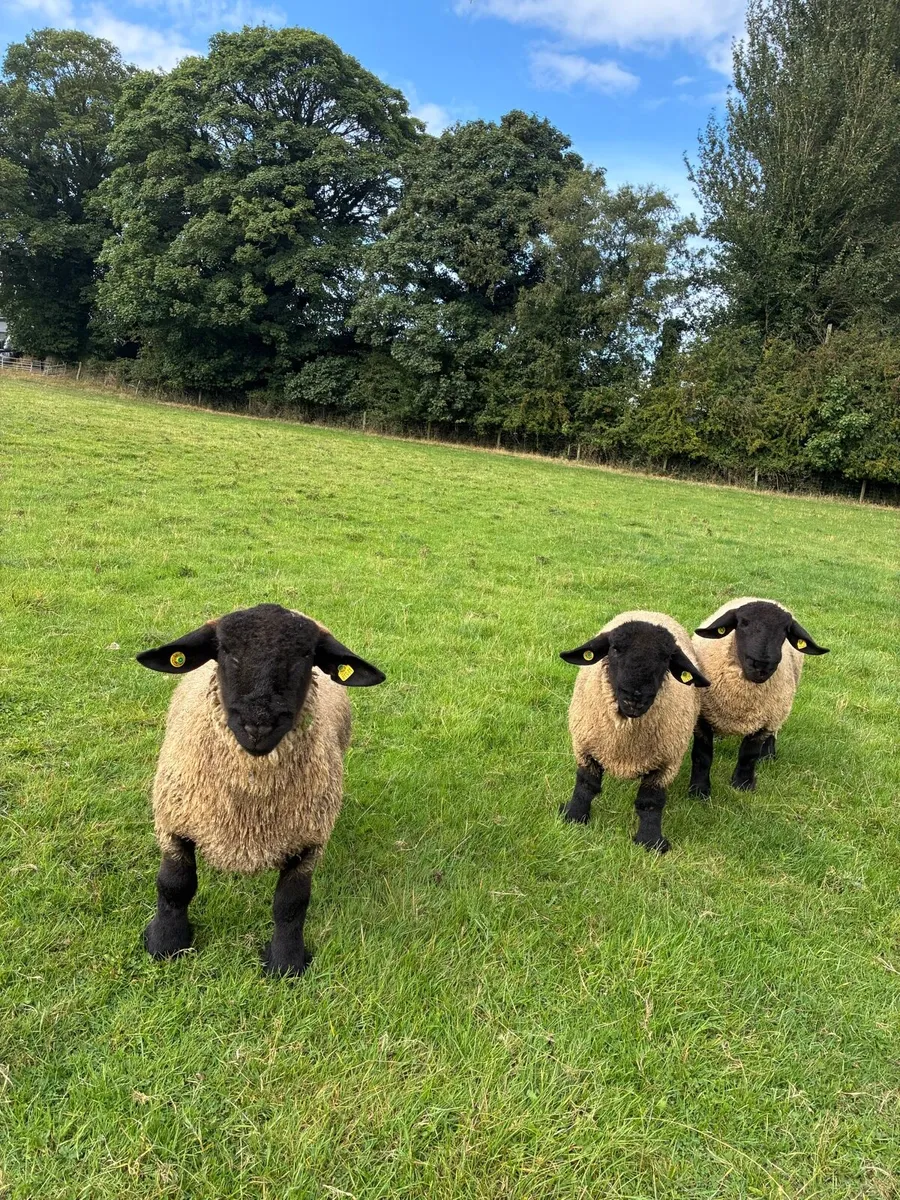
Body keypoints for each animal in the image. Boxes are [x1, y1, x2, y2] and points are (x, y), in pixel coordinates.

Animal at [136, 603, 385, 977]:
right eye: (225, 650)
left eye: (307, 655)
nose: (258, 725)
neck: (249, 807)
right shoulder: (175, 820)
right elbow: (175, 885)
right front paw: (165, 943)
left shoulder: (307, 839)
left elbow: (291, 904)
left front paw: (286, 962)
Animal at [559, 611, 710, 853]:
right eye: (614, 649)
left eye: (666, 659)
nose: (635, 697)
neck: (625, 742)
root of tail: (652, 612)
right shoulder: (585, 746)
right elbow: (585, 786)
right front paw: (574, 816)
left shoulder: (666, 763)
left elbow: (650, 802)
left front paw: (651, 841)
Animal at [688, 597, 829, 797]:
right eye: (743, 623)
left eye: (785, 631)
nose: (762, 664)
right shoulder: (703, 717)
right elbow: (703, 755)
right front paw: (699, 791)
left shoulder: (765, 721)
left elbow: (749, 755)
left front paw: (742, 785)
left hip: (778, 709)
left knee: (774, 732)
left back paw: (768, 755)